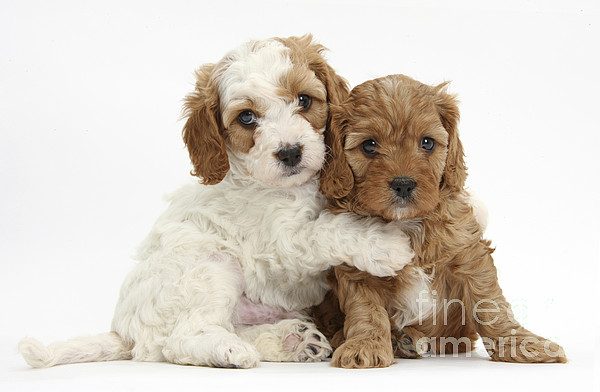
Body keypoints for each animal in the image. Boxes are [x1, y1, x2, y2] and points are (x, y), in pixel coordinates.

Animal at [18, 35, 412, 370]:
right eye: (247, 117)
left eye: (304, 100)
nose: (290, 152)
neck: (295, 188)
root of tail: (125, 333)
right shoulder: (279, 245)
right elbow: (326, 230)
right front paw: (384, 244)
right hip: (211, 266)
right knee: (179, 340)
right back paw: (230, 350)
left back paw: (291, 340)